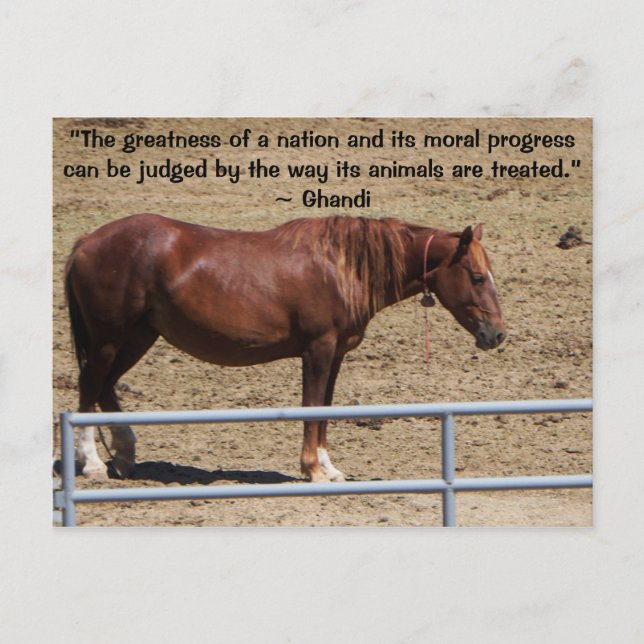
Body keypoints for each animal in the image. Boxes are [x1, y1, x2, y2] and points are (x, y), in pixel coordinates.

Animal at [64, 213, 506, 482]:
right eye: (477, 277)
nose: (498, 334)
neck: (342, 266)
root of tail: (88, 240)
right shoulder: (318, 350)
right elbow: (312, 408)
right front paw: (312, 469)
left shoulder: (336, 353)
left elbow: (325, 409)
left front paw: (328, 468)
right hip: (109, 339)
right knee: (89, 388)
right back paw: (92, 464)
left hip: (136, 337)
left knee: (106, 388)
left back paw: (124, 455)